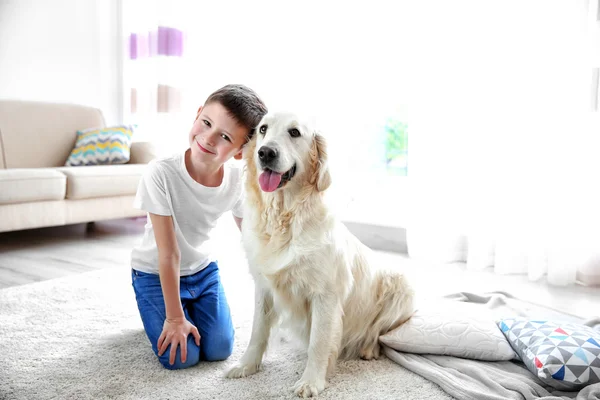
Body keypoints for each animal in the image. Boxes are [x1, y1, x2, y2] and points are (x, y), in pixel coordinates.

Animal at [227, 111, 414, 396]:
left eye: (294, 132)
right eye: (262, 129)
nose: (265, 152)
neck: (285, 217)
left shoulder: (325, 295)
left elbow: (319, 341)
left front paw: (310, 382)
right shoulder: (264, 286)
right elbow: (257, 331)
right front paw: (246, 365)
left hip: (401, 286)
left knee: (379, 333)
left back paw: (368, 348)